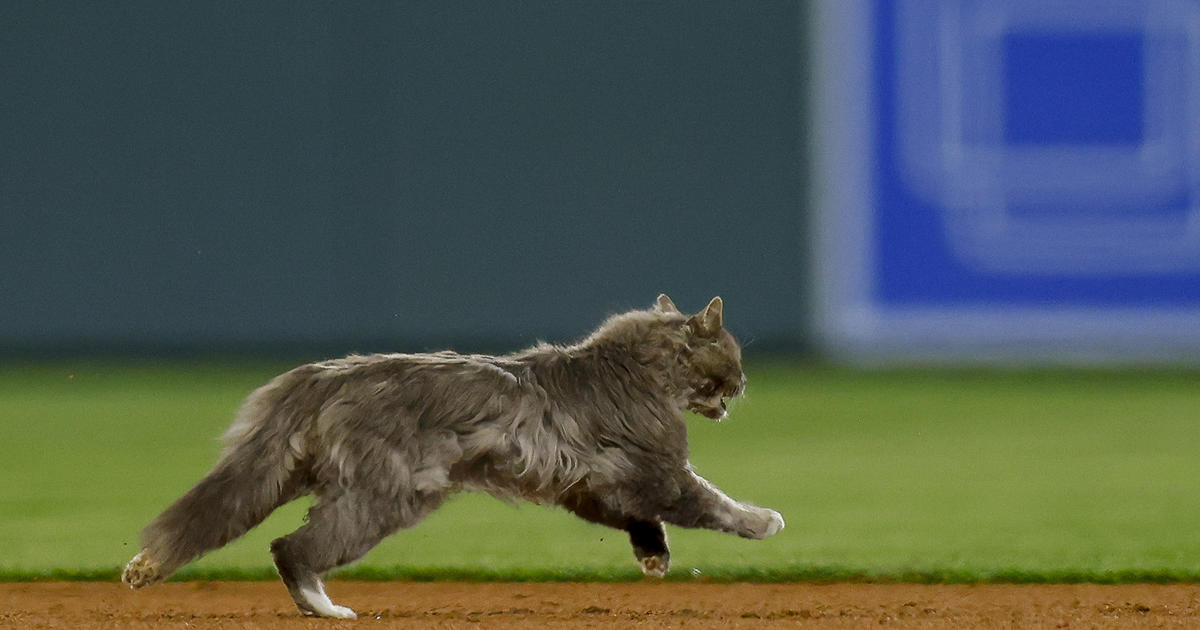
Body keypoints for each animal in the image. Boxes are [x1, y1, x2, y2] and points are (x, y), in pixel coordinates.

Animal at [119, 296, 777, 619]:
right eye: (733, 356)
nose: (745, 383)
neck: (633, 370)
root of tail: (324, 375)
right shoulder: (658, 469)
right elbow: (710, 502)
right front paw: (763, 521)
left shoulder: (595, 483)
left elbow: (640, 517)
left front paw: (653, 554)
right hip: (387, 495)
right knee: (292, 547)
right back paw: (323, 607)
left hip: (283, 474)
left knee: (216, 517)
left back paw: (146, 567)